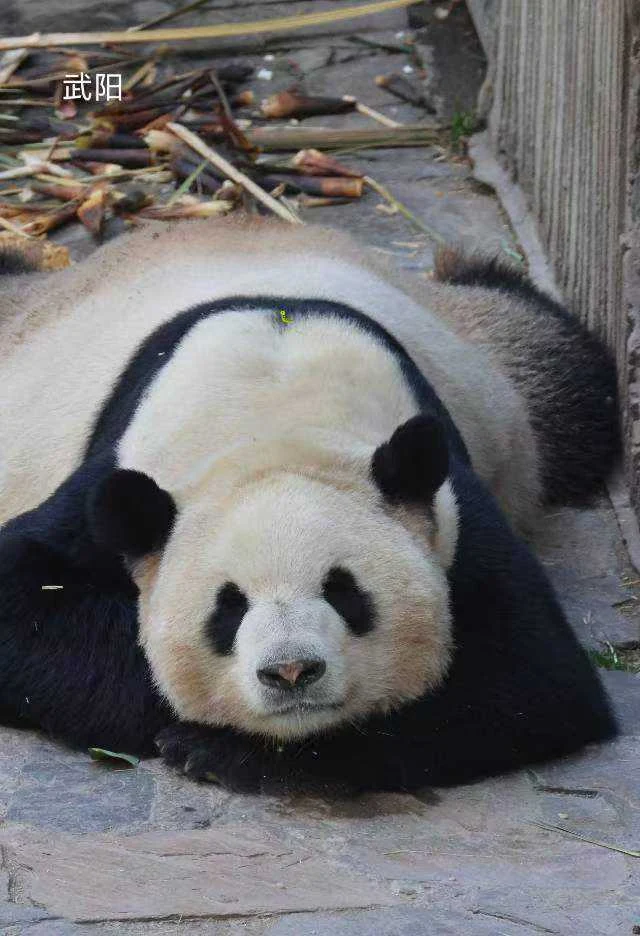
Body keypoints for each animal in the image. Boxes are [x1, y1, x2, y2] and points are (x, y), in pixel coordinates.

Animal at [0, 218, 619, 793]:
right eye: (228, 608)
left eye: (344, 591)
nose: (291, 671)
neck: (272, 419)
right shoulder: (122, 477)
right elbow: (27, 599)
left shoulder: (448, 503)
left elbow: (528, 677)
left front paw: (226, 751)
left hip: (503, 364)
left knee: (565, 374)